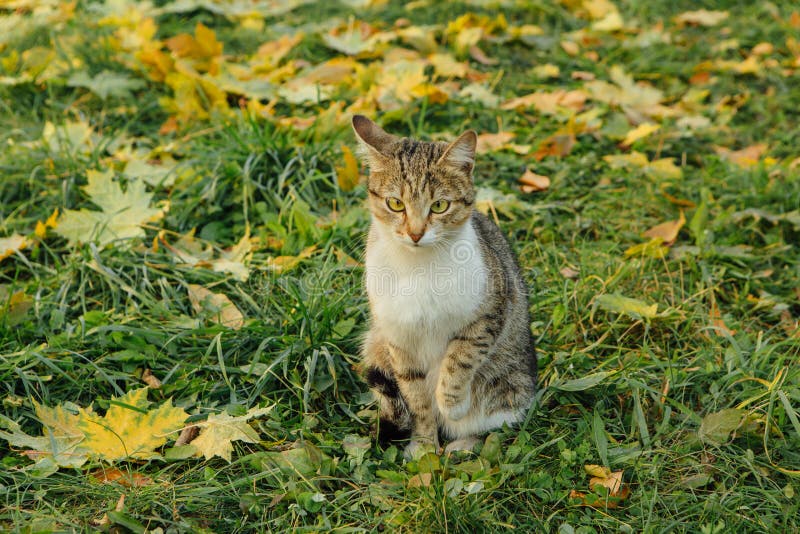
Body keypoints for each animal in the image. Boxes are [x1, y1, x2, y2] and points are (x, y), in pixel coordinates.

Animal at [352, 115, 536, 458]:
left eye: (439, 206)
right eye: (395, 203)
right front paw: (425, 446)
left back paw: (463, 444)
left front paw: (451, 404)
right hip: (375, 342)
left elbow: (460, 357)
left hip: (512, 393)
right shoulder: (398, 338)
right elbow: (417, 400)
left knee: (499, 430)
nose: (415, 233)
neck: (418, 267)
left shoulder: (489, 313)